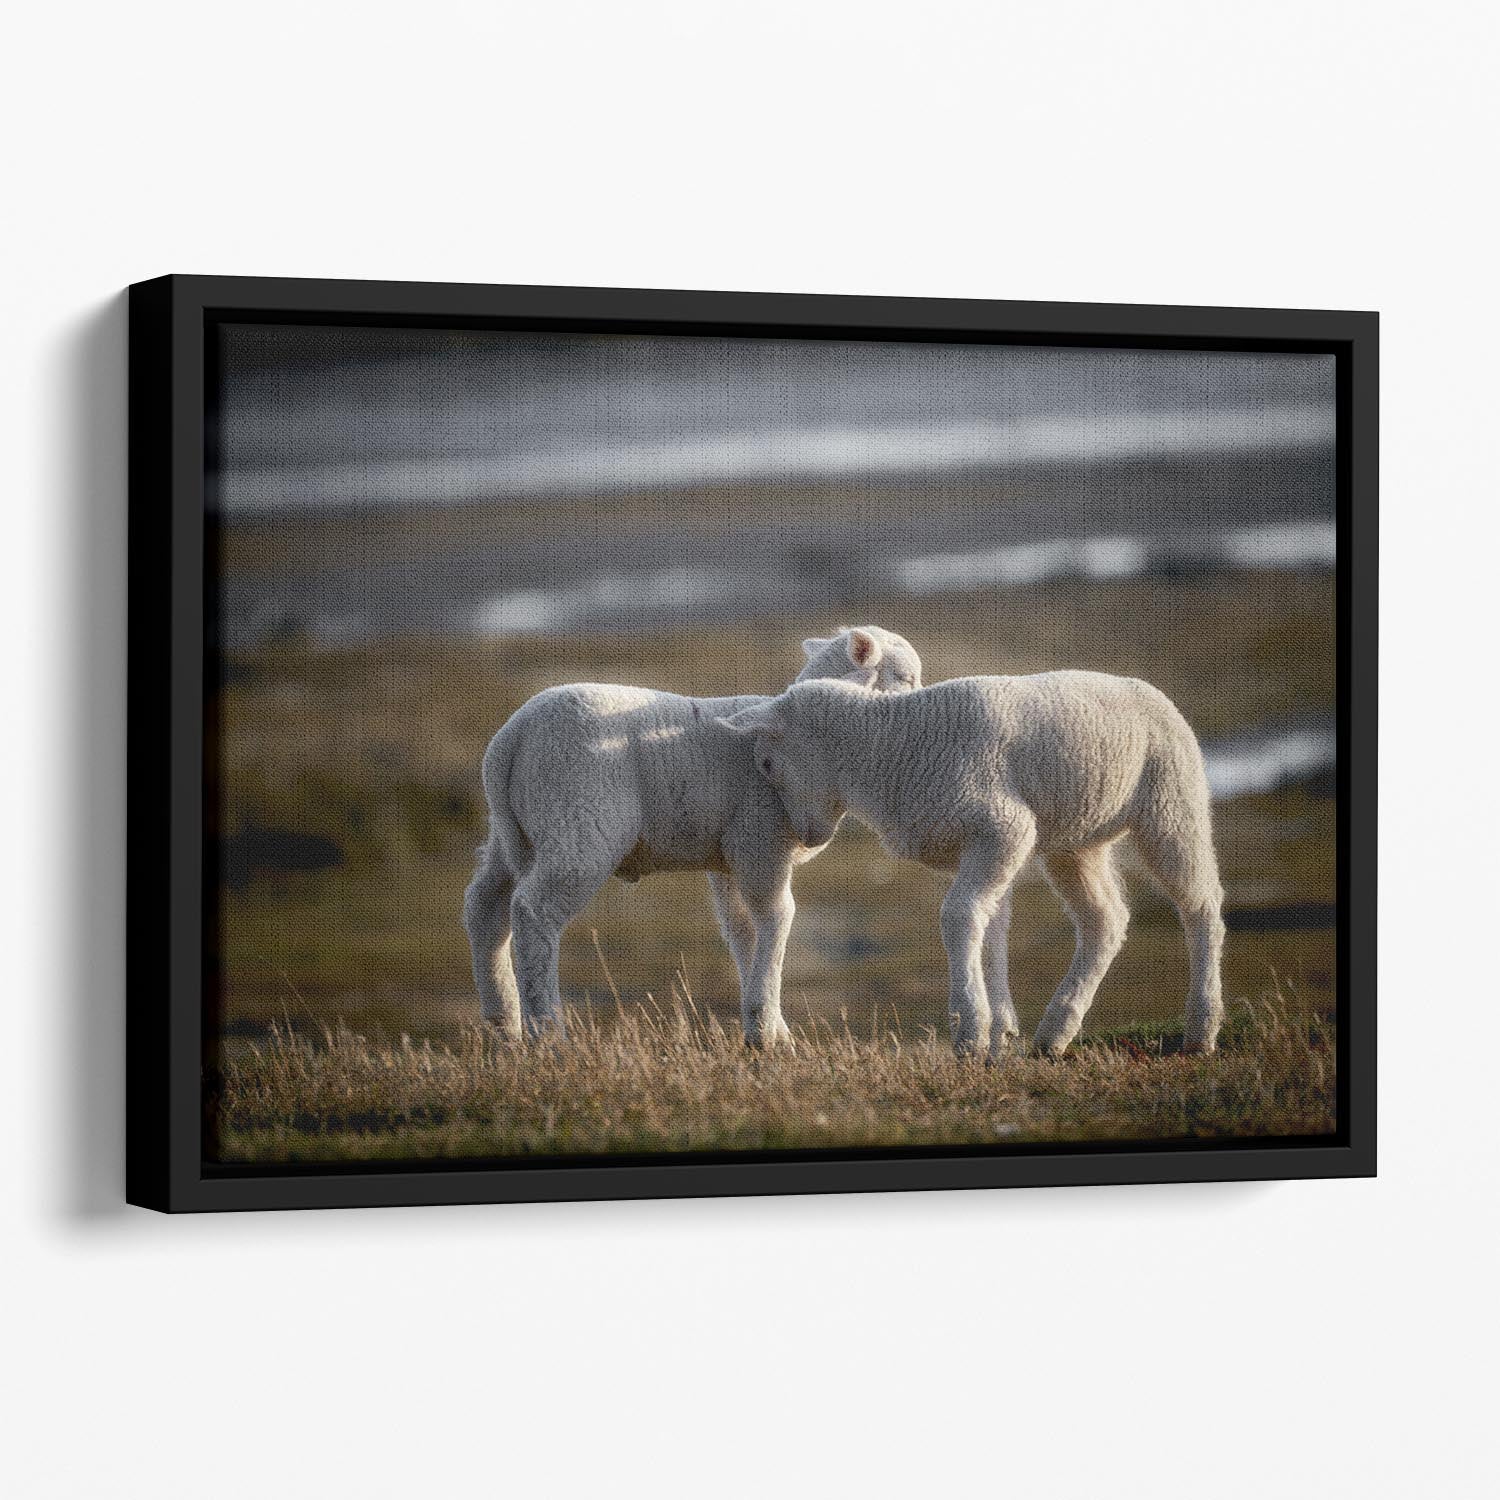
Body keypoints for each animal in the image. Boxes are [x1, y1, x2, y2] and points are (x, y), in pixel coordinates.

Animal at [463, 627, 924, 1046]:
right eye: (905, 678)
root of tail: (511, 739)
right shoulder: (760, 841)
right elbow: (777, 918)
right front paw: (766, 1030)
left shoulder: (729, 856)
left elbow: (741, 929)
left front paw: (770, 1028)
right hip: (580, 825)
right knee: (533, 912)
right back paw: (548, 1034)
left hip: (516, 832)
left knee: (485, 906)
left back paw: (503, 1025)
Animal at [718, 672, 1226, 1060]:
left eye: (767, 763)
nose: (806, 839)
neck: (889, 749)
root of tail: (1146, 688)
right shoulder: (974, 844)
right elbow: (989, 927)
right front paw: (998, 1031)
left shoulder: (1005, 827)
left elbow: (959, 917)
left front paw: (970, 1033)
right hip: (1076, 838)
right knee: (1106, 919)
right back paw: (1055, 1032)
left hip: (1171, 801)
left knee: (1201, 908)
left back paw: (1201, 1029)